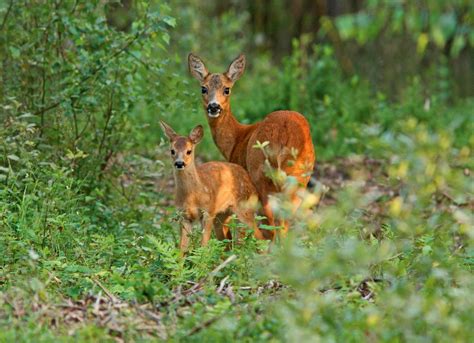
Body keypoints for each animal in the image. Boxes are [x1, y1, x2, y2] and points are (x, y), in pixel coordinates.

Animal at [159, 121, 262, 253]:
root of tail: (249, 178)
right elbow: (182, 249)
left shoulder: (208, 211)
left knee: (258, 235)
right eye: (172, 150)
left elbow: (203, 245)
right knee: (227, 242)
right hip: (222, 216)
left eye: (189, 151)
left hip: (245, 208)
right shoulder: (184, 215)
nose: (179, 163)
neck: (193, 195)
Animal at [188, 53, 314, 239]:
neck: (237, 139)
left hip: (261, 173)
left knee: (271, 225)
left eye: (227, 89)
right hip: (300, 175)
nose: (214, 106)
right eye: (203, 88)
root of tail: (285, 133)